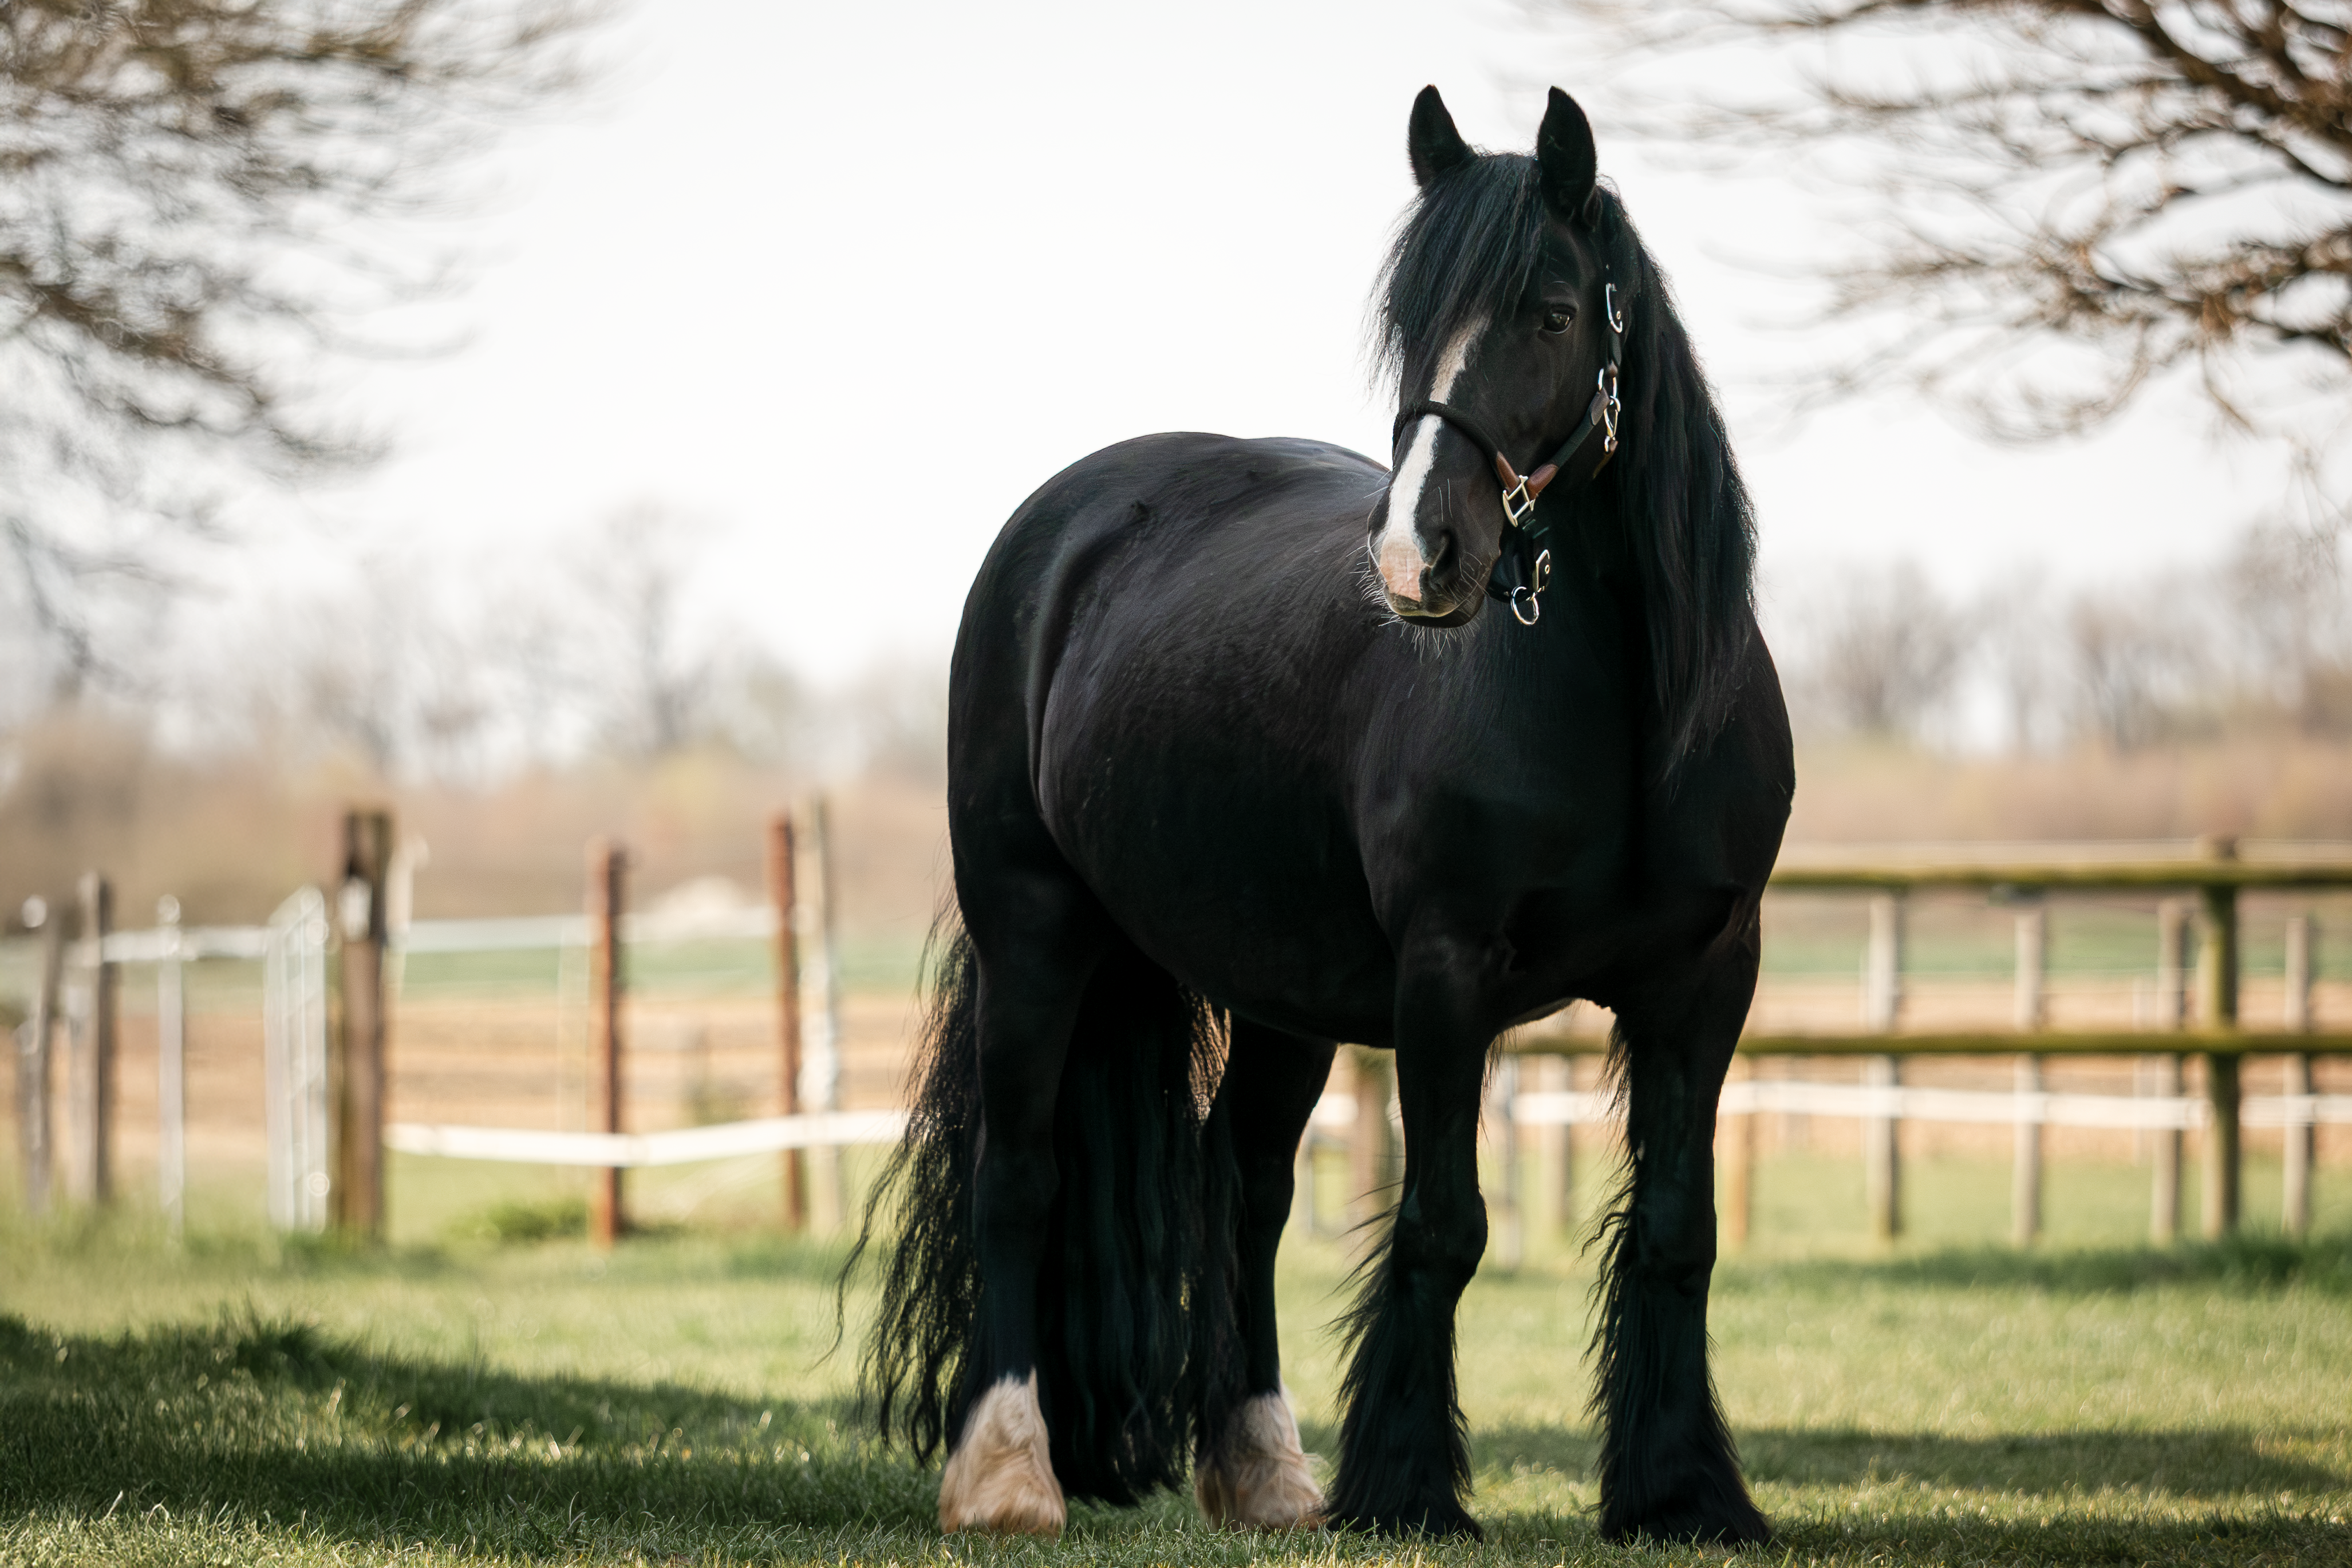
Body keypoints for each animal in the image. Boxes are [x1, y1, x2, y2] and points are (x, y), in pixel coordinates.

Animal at [850, 84, 1791, 1545]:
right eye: (1407, 319)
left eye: (1550, 312)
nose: (1417, 556)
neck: (1628, 715)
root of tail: (1060, 526)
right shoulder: (1444, 976)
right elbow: (1441, 1225)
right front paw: (1408, 1488)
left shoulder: (1704, 977)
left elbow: (1674, 1231)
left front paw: (1680, 1491)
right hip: (1034, 928)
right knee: (1019, 1171)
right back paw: (1006, 1473)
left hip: (1280, 989)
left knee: (1239, 1186)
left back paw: (1260, 1470)